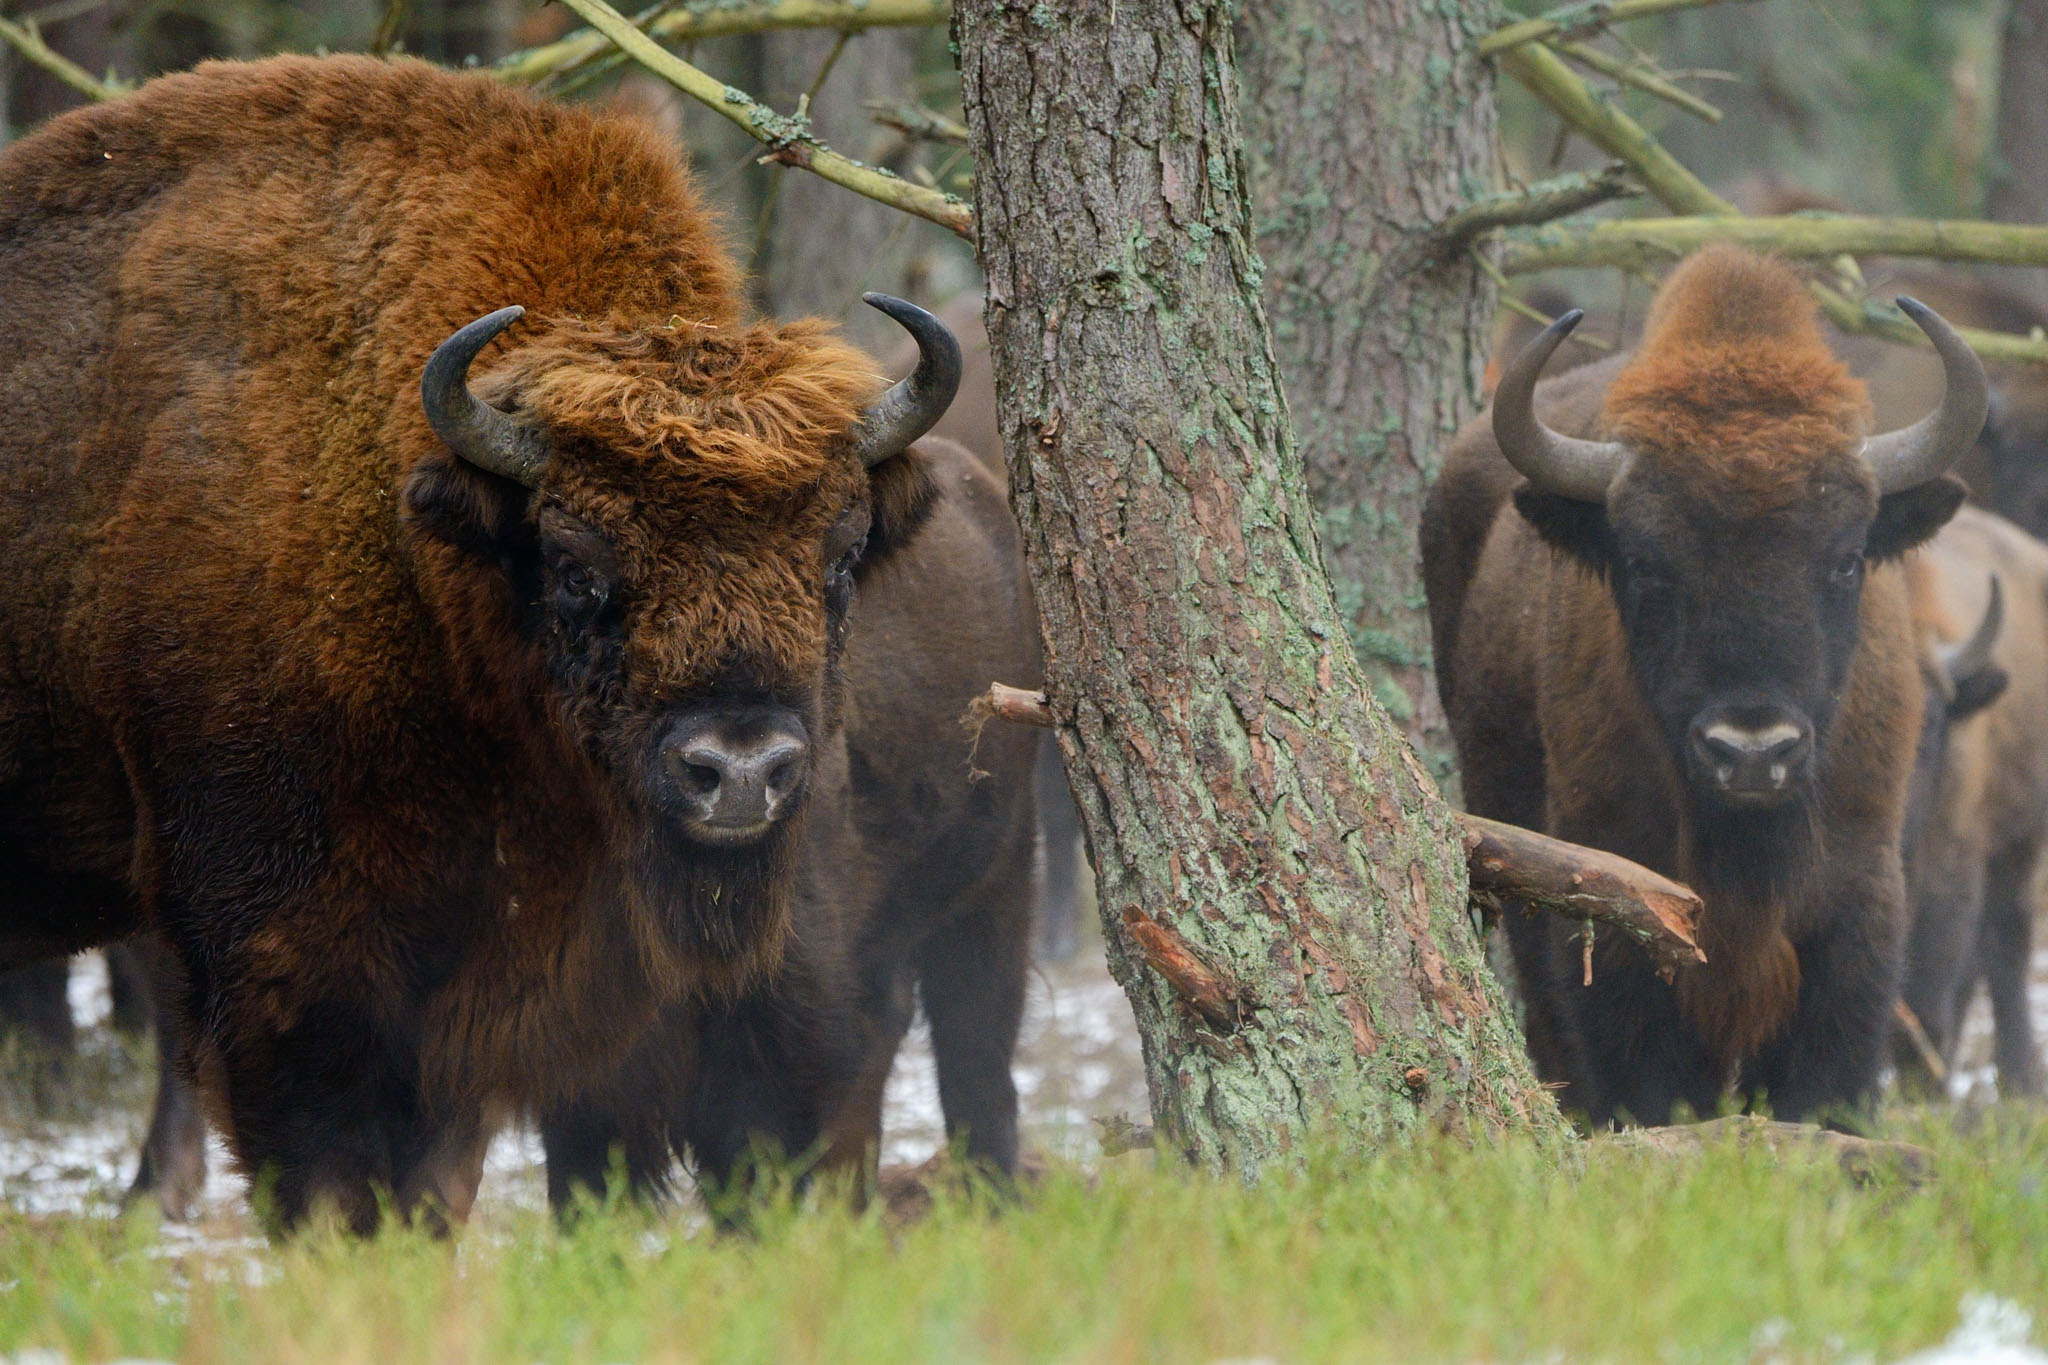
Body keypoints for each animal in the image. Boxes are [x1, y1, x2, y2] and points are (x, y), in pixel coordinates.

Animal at [1425, 248, 1982, 1129]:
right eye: (1645, 563)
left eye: (1846, 558)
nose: (1751, 751)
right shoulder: (1613, 904)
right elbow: (1644, 1075)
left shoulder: (1858, 904)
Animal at [1884, 507, 2048, 1096]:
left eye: (1930, 723)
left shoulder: (1949, 864)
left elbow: (1931, 987)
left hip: (2019, 842)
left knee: (2006, 944)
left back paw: (2020, 1084)